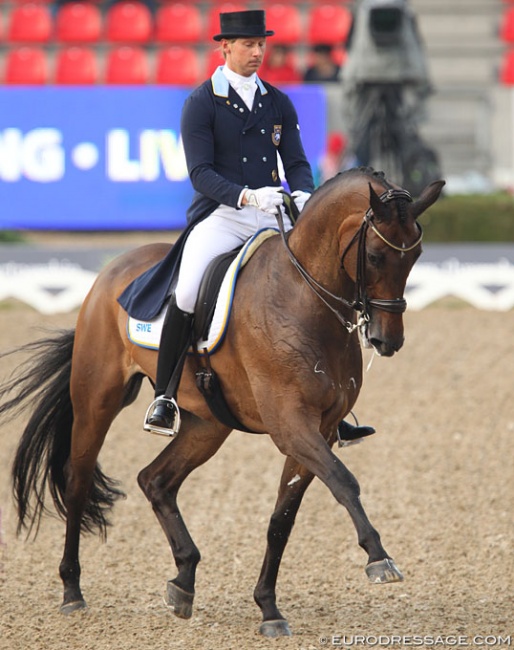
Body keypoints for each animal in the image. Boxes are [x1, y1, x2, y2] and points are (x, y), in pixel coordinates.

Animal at [0, 166, 440, 632]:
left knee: (155, 480)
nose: (388, 341)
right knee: (79, 482)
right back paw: (72, 590)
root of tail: (110, 271)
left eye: (415, 255)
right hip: (96, 401)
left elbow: (282, 519)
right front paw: (379, 558)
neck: (304, 298)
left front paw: (268, 607)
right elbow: (343, 481)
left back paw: (183, 581)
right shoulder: (291, 425)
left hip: (207, 424)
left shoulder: (317, 429)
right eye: (374, 256)